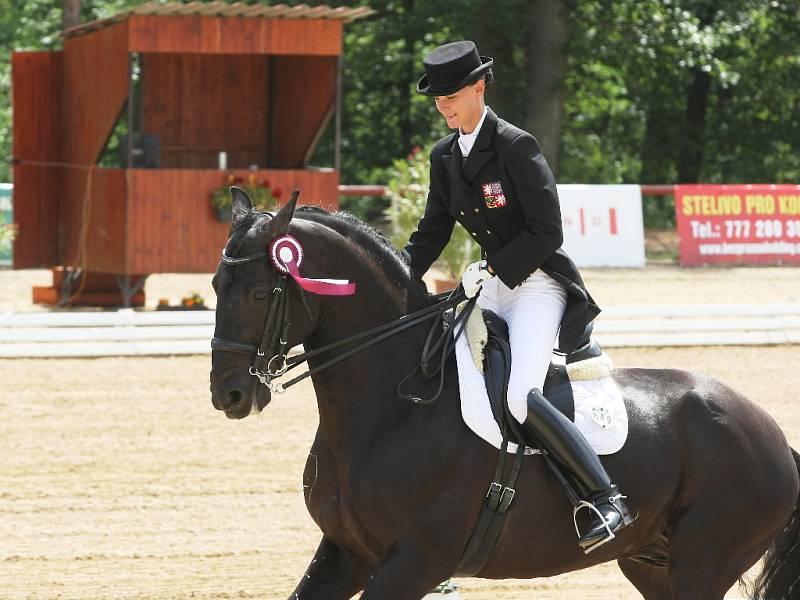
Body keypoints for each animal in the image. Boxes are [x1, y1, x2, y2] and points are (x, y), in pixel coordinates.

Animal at [209, 189, 800, 600]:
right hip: (651, 564)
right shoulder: (345, 552)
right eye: (216, 286)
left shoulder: (415, 561)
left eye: (260, 293)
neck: (392, 408)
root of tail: (773, 436)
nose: (229, 394)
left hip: (703, 563)